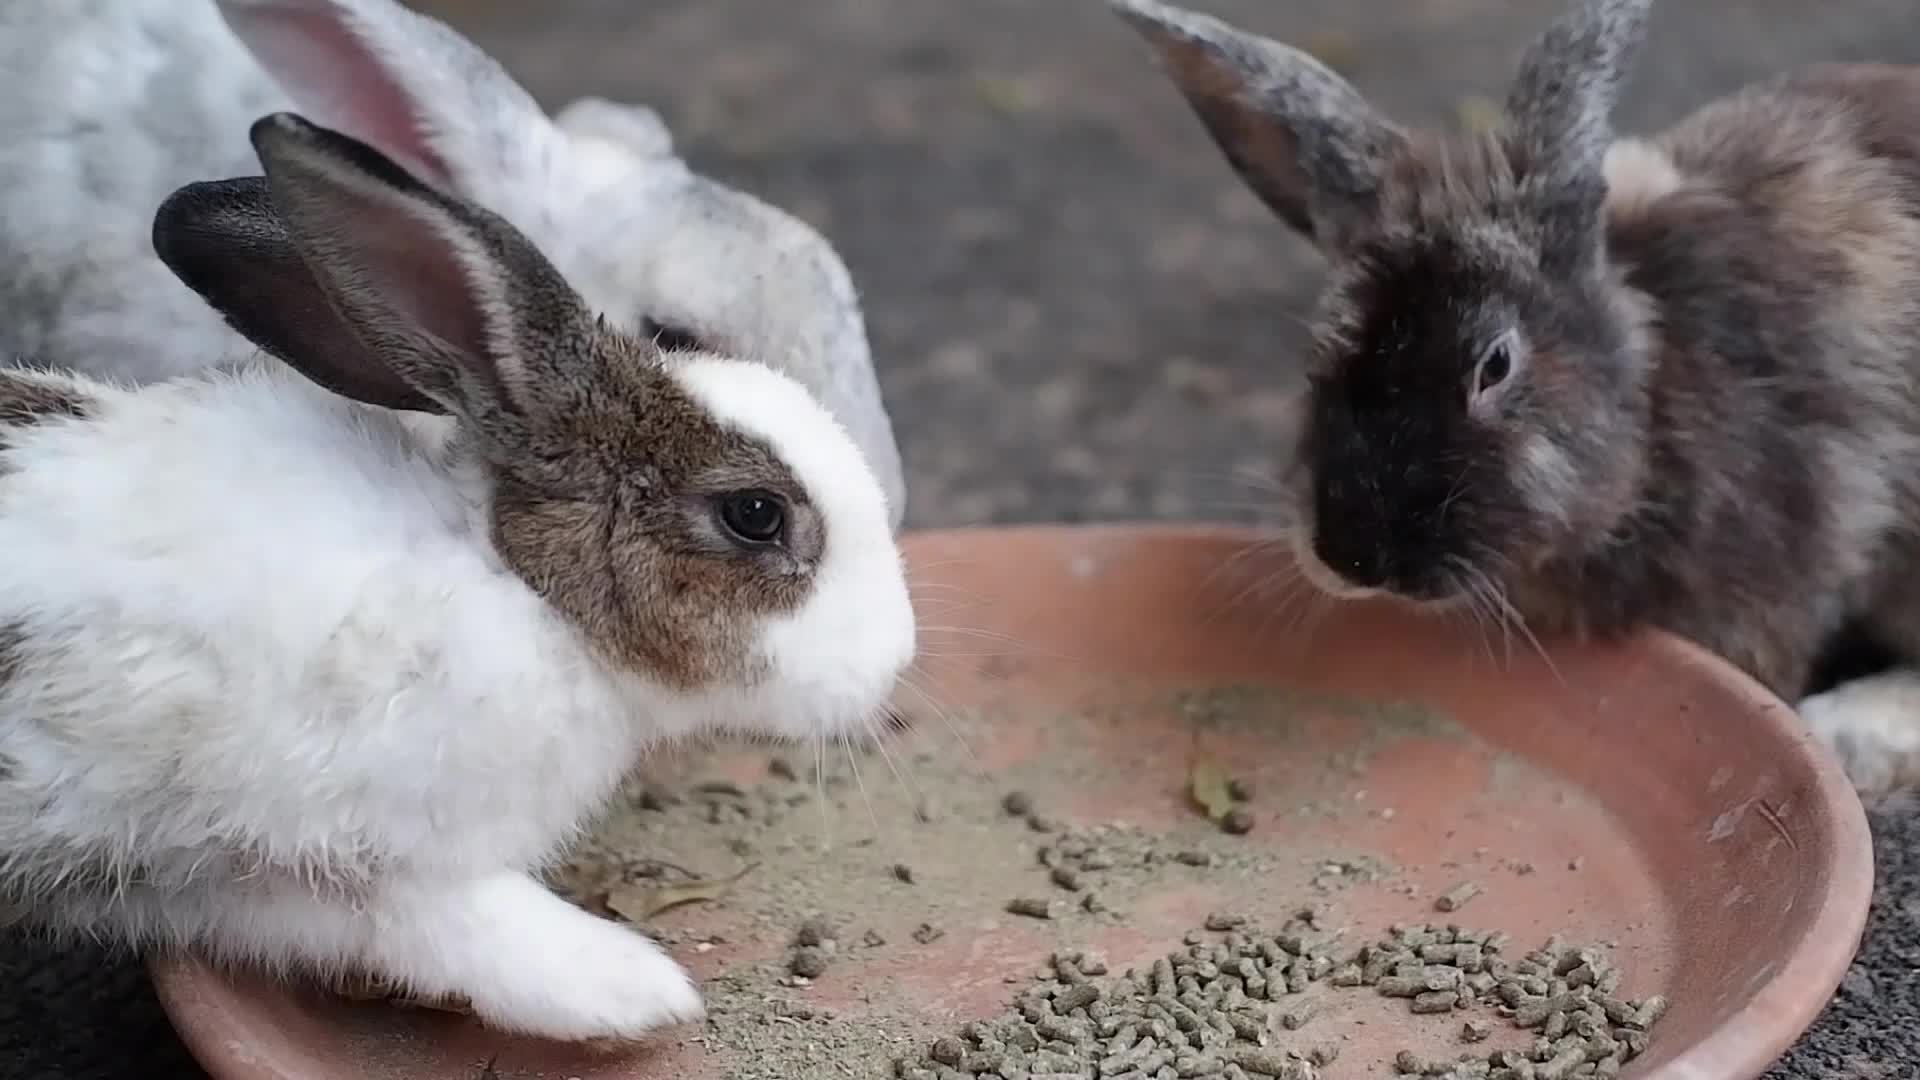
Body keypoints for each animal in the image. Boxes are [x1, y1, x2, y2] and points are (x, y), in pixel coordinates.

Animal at [0, 109, 917, 1043]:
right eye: (756, 514)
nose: (899, 657)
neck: (520, 589)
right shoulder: (327, 838)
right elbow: (441, 920)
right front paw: (632, 989)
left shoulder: (206, 881)